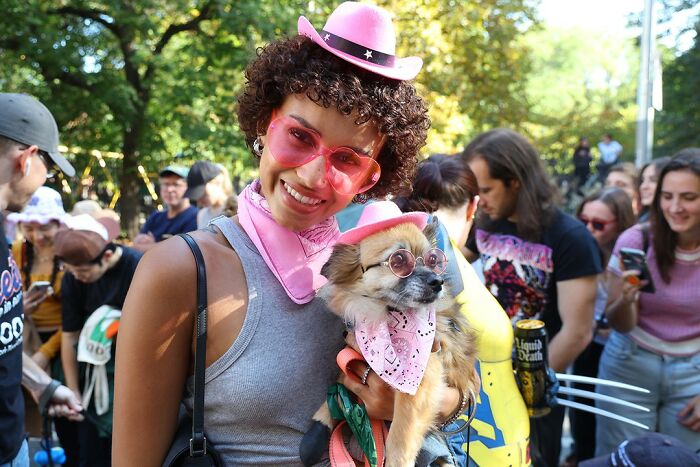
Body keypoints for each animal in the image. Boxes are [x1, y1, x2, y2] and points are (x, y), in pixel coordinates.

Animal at [298, 204, 478, 467]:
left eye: (433, 260)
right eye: (399, 260)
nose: (437, 281)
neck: (389, 318)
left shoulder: (423, 381)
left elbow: (400, 437)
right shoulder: (352, 357)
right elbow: (338, 390)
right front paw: (319, 427)